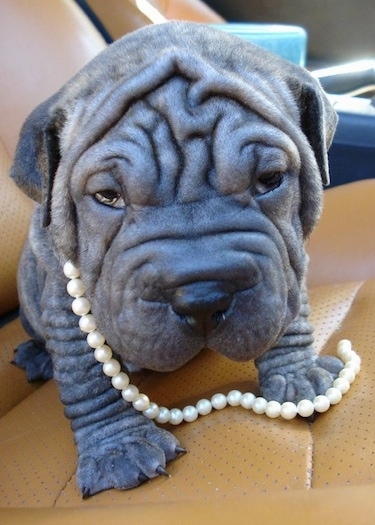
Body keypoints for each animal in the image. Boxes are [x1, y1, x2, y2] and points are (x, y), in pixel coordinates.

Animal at [11, 21, 340, 496]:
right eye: (107, 196)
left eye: (270, 179)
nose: (203, 298)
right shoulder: (63, 300)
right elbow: (87, 376)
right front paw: (119, 449)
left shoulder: (286, 257)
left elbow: (289, 312)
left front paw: (298, 375)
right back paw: (38, 357)